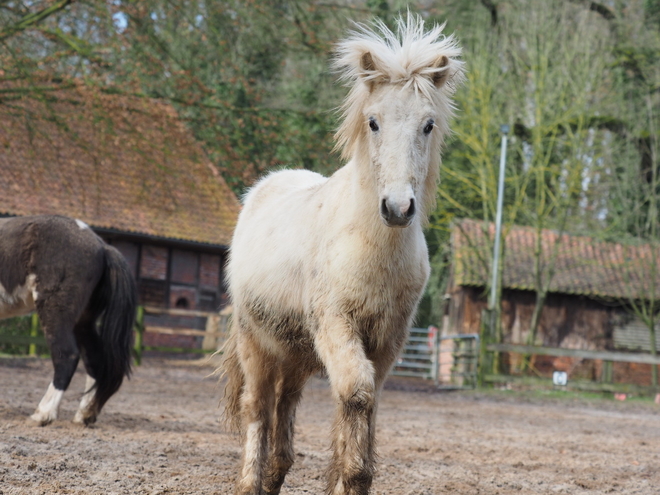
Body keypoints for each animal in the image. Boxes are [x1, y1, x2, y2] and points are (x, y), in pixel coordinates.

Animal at [0, 215, 136, 428]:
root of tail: (102, 246)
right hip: (83, 322)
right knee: (94, 361)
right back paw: (84, 414)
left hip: (55, 312)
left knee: (67, 355)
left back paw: (44, 413)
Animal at [222, 15, 464, 495]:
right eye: (373, 122)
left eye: (428, 125)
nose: (398, 208)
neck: (373, 249)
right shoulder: (338, 325)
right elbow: (356, 394)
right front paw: (349, 475)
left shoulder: (387, 341)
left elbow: (364, 407)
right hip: (253, 341)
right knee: (257, 406)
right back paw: (251, 482)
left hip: (296, 352)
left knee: (285, 404)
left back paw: (276, 475)